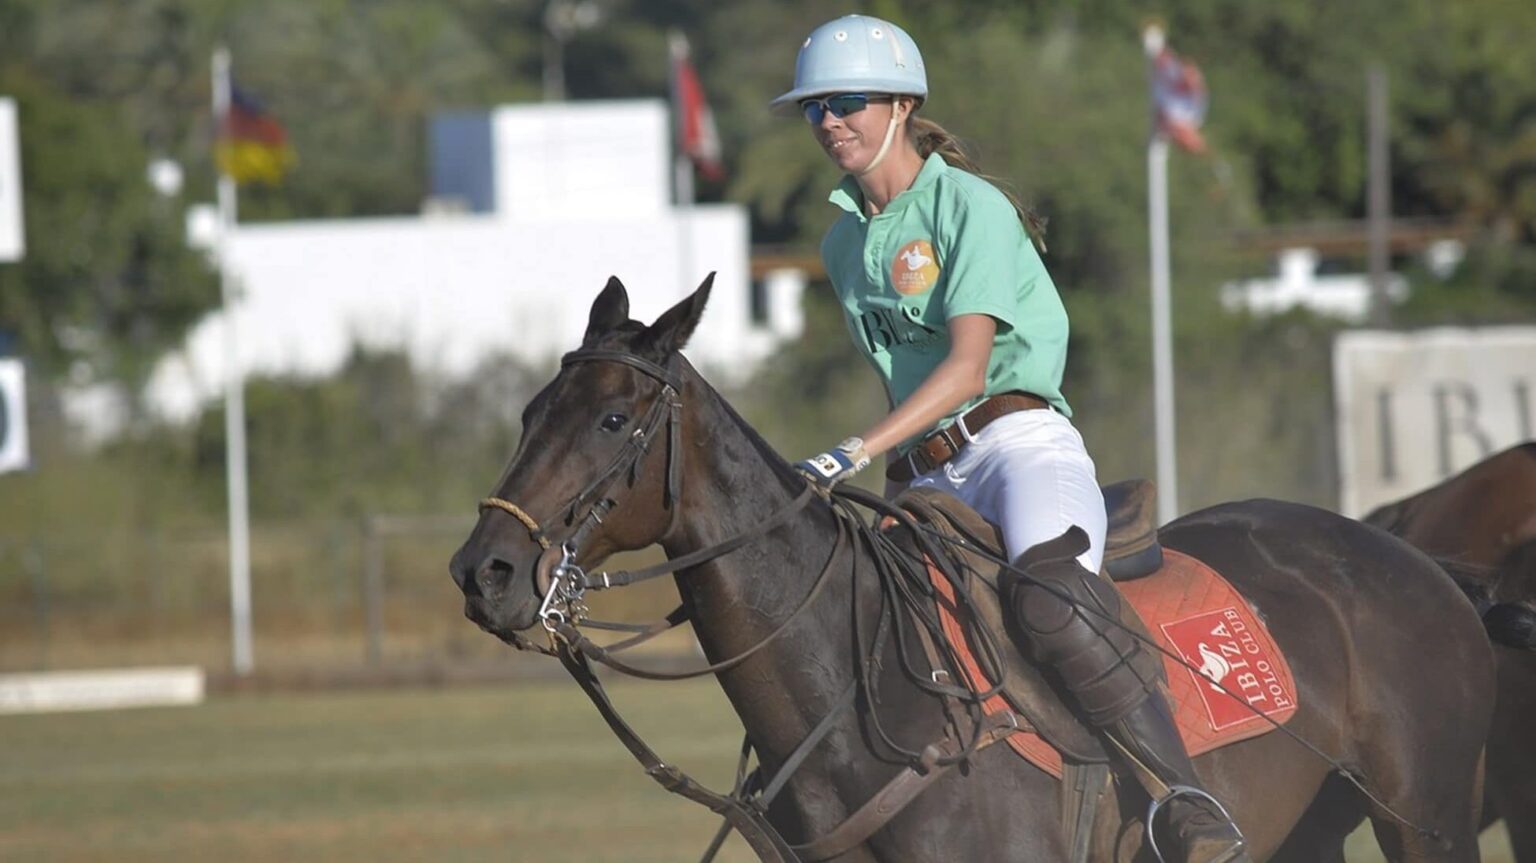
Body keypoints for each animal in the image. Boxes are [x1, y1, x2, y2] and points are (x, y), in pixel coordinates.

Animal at [451, 276, 1496, 862]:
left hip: (1429, 824)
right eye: (528, 411)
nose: (484, 569)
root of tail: (1423, 559)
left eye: (612, 420)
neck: (857, 690)